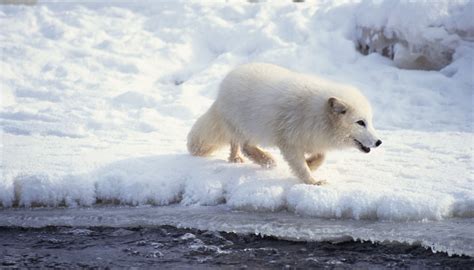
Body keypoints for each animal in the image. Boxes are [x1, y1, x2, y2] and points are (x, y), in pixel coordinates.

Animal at [187, 63, 384, 186]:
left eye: (370, 121)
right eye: (360, 122)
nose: (379, 142)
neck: (316, 113)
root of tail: (224, 83)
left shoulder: (312, 138)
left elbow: (321, 156)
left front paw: (311, 164)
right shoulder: (289, 142)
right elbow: (300, 166)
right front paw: (313, 181)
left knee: (236, 144)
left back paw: (236, 159)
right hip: (247, 126)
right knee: (244, 145)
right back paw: (266, 160)